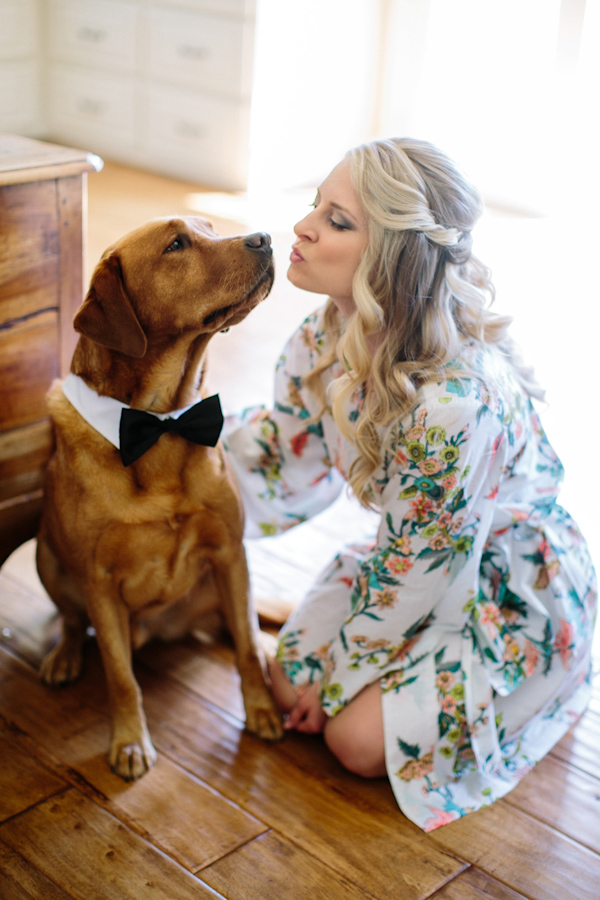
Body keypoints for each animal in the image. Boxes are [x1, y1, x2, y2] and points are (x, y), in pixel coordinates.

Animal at [37, 214, 284, 776]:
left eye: (210, 228)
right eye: (176, 244)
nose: (265, 237)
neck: (162, 422)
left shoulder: (230, 553)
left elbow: (243, 650)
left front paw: (261, 710)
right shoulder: (99, 583)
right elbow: (121, 677)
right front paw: (130, 742)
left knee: (244, 631)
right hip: (47, 559)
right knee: (70, 621)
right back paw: (64, 656)